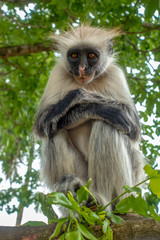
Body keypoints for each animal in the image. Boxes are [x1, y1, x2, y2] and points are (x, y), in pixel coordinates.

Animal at [33, 24, 144, 214]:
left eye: (91, 56)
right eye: (74, 56)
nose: (82, 68)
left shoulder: (115, 74)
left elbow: (134, 128)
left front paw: (89, 100)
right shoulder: (57, 73)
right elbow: (41, 123)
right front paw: (83, 100)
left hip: (128, 192)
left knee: (107, 126)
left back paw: (101, 201)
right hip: (85, 177)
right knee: (54, 131)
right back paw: (72, 198)